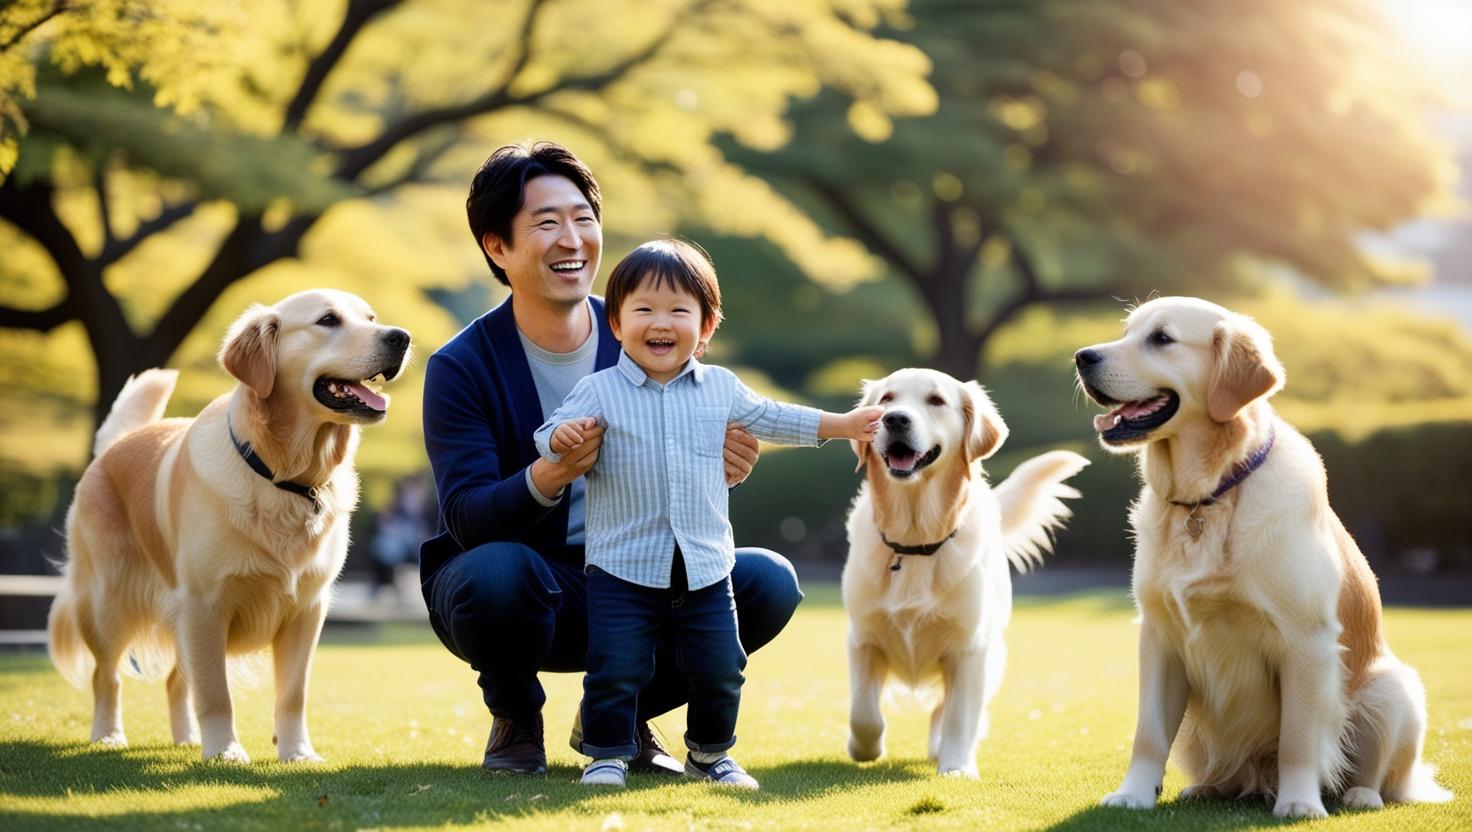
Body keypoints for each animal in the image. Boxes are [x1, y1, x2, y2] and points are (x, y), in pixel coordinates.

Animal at [48, 288, 409, 759]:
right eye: (328, 320)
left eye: (371, 318)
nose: (401, 337)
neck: (286, 479)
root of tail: (115, 444)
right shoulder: (205, 604)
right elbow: (216, 692)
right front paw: (225, 751)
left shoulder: (308, 608)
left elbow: (293, 693)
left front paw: (296, 751)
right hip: (108, 601)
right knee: (106, 675)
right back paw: (109, 734)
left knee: (175, 681)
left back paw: (187, 739)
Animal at [847, 366, 1089, 777]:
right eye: (887, 399)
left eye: (936, 400)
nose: (896, 419)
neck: (916, 542)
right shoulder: (863, 638)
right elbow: (864, 713)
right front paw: (865, 748)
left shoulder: (968, 648)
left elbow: (959, 714)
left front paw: (956, 766)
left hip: (993, 657)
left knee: (945, 710)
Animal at [1077, 294, 1454, 812]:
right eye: (1126, 332)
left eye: (1162, 338)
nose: (1081, 356)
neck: (1208, 497)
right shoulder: (1158, 636)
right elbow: (1148, 732)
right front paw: (1134, 794)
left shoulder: (1306, 640)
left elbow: (1298, 736)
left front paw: (1300, 803)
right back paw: (1209, 787)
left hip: (1393, 689)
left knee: (1384, 776)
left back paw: (1358, 794)